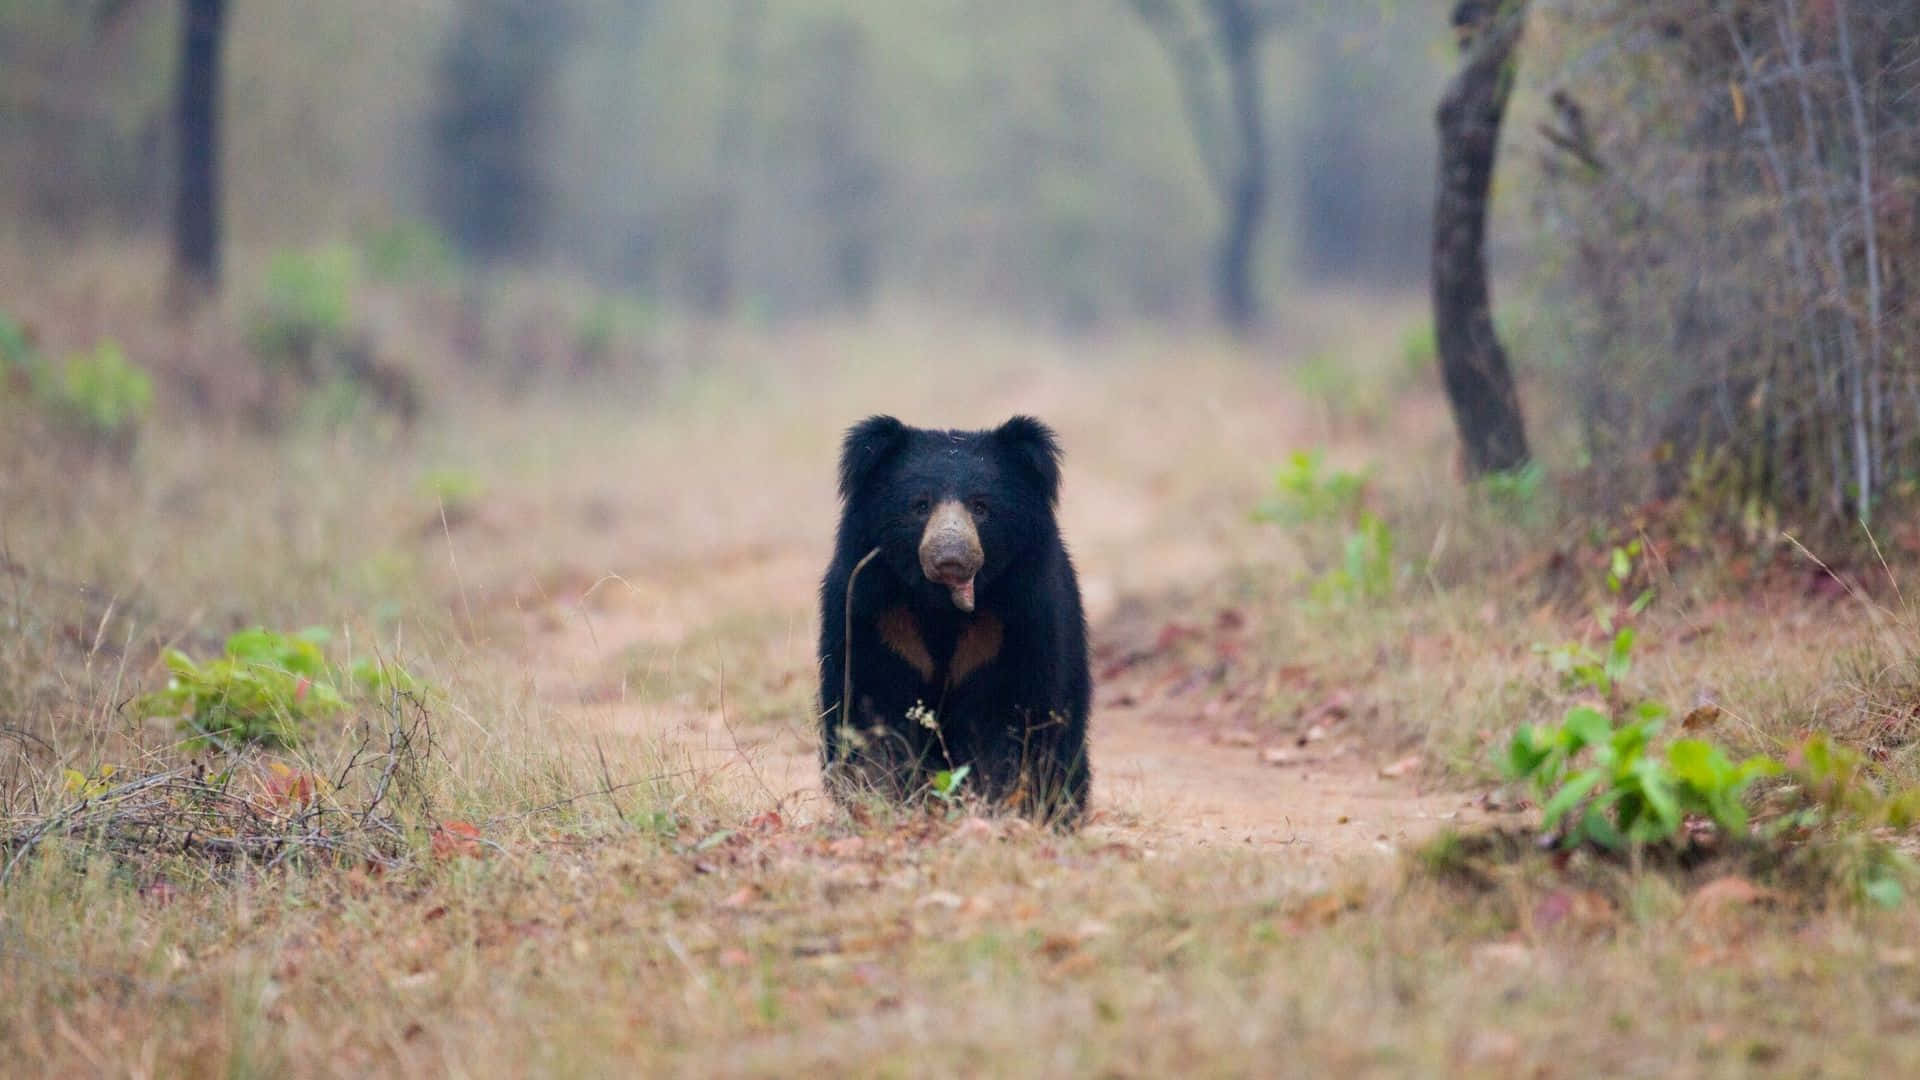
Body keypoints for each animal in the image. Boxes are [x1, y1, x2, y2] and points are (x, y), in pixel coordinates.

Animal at [817, 417, 1098, 818]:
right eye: (920, 505)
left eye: (981, 506)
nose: (950, 555)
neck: (941, 605)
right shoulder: (874, 613)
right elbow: (870, 705)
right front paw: (883, 798)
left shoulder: (1019, 615)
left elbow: (1008, 717)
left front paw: (994, 805)